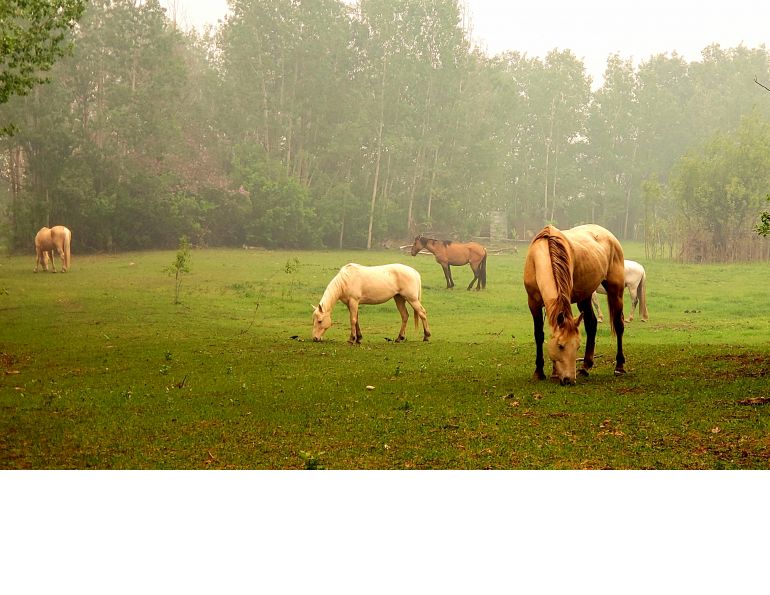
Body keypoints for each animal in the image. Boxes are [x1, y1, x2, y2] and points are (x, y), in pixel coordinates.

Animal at [523, 224, 626, 385]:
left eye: (577, 346)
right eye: (560, 346)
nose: (569, 379)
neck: (540, 256)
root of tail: (609, 235)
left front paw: (553, 373)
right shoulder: (533, 303)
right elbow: (539, 335)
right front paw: (540, 372)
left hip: (616, 291)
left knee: (618, 325)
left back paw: (619, 367)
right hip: (585, 296)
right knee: (591, 324)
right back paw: (585, 367)